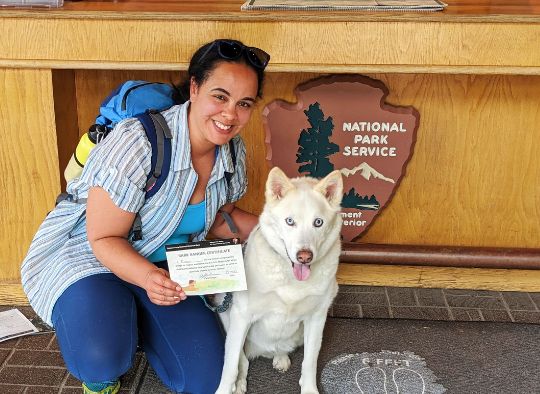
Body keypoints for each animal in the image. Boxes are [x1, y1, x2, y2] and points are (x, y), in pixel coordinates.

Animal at [214, 167, 342, 394]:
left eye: (318, 222)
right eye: (290, 221)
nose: (304, 256)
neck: (291, 278)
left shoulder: (316, 319)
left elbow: (310, 362)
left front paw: (309, 388)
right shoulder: (242, 315)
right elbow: (230, 366)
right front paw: (227, 387)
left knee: (279, 348)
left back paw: (280, 357)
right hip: (226, 309)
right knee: (241, 358)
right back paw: (240, 381)